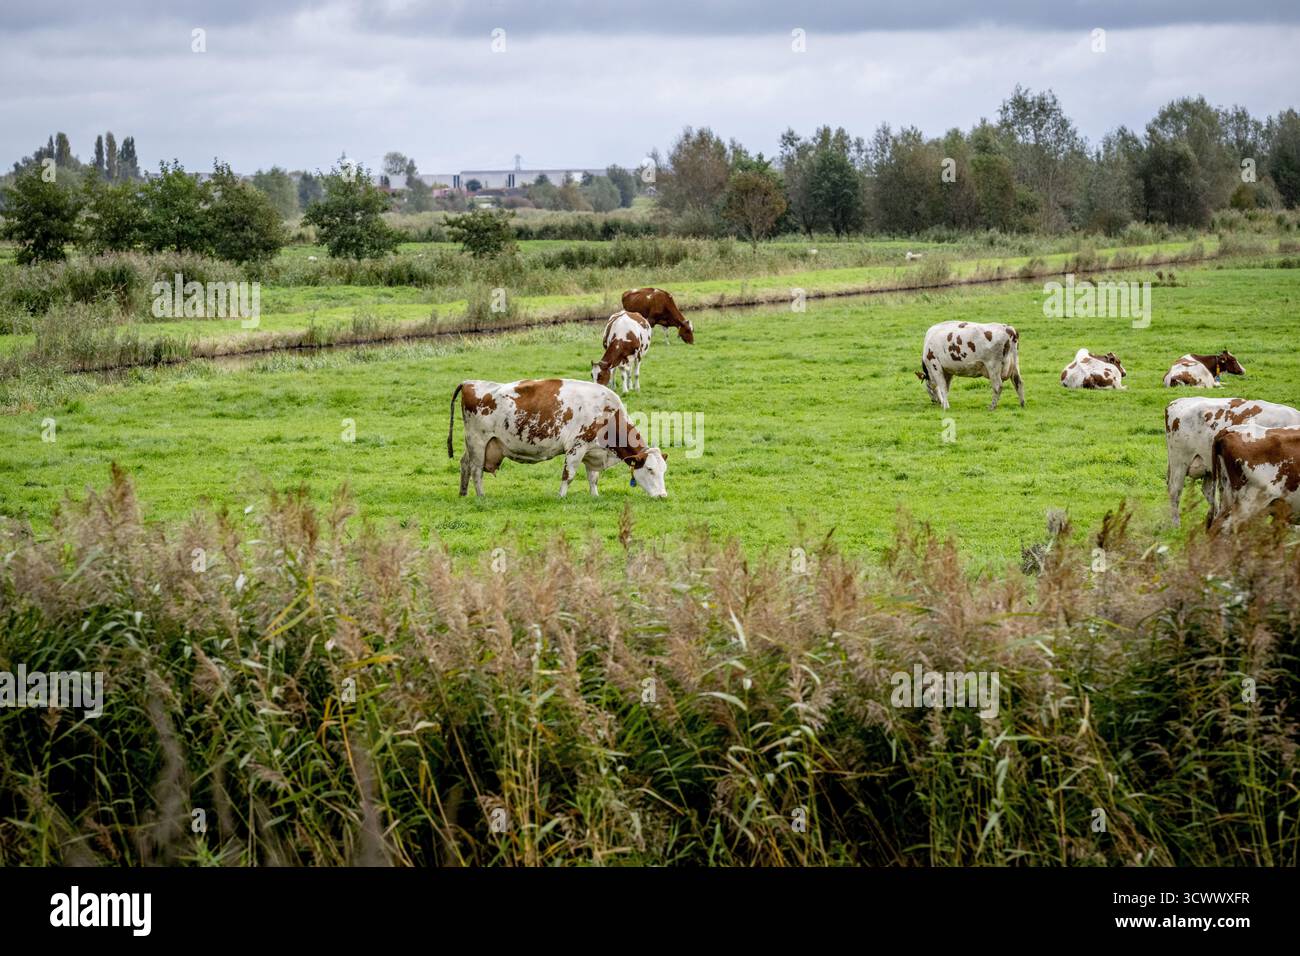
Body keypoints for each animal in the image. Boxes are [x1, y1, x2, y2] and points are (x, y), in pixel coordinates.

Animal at [448, 378, 668, 499]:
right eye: (650, 469)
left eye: (663, 471)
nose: (663, 495)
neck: (607, 413)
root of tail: (470, 383)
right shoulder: (576, 447)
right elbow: (568, 475)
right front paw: (561, 497)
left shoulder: (592, 452)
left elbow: (593, 478)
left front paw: (595, 496)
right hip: (478, 441)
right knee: (476, 471)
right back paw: (481, 496)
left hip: (474, 445)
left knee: (464, 464)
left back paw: (463, 493)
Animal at [1163, 396, 1300, 526]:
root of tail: (1178, 401)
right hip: (1179, 462)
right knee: (1175, 491)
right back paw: (1176, 525)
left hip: (1209, 466)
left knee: (1208, 491)